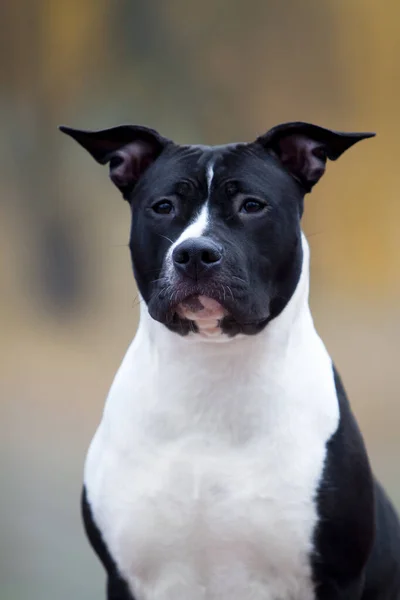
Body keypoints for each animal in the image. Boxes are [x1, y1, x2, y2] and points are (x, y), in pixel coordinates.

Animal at [60, 122, 400, 600]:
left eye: (252, 205)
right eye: (163, 207)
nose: (194, 253)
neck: (212, 375)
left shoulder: (336, 577)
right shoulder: (125, 577)